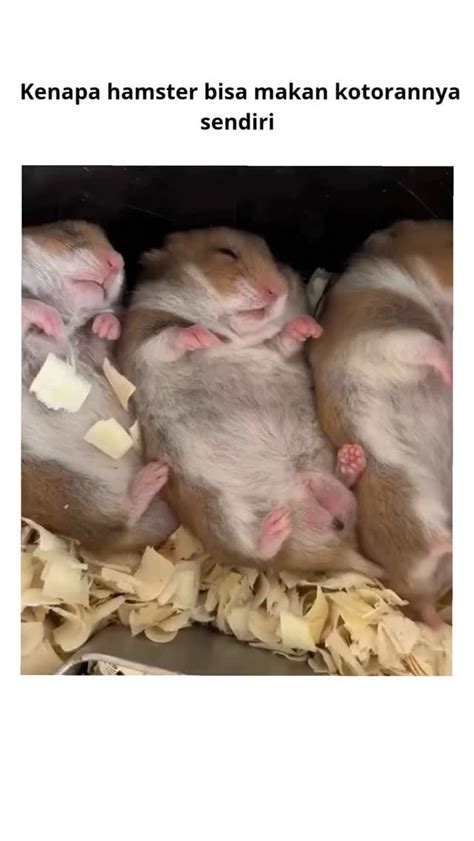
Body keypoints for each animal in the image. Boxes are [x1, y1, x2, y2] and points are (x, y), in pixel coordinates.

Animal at [22, 220, 177, 554]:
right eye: (66, 231)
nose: (117, 261)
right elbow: (27, 306)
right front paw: (51, 321)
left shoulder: (100, 355)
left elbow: (102, 332)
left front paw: (104, 323)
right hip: (68, 491)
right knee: (113, 522)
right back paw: (154, 476)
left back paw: (156, 475)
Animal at [117, 226, 381, 576]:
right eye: (226, 253)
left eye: (275, 258)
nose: (277, 289)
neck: (234, 334)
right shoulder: (141, 340)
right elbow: (171, 338)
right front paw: (201, 337)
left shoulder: (276, 351)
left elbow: (284, 340)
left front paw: (309, 326)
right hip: (224, 515)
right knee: (260, 552)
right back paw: (275, 528)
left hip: (316, 483)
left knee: (341, 501)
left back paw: (350, 461)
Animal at [307, 219, 453, 624]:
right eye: (447, 238)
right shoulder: (387, 337)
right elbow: (433, 348)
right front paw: (454, 370)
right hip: (417, 502)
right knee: (437, 542)